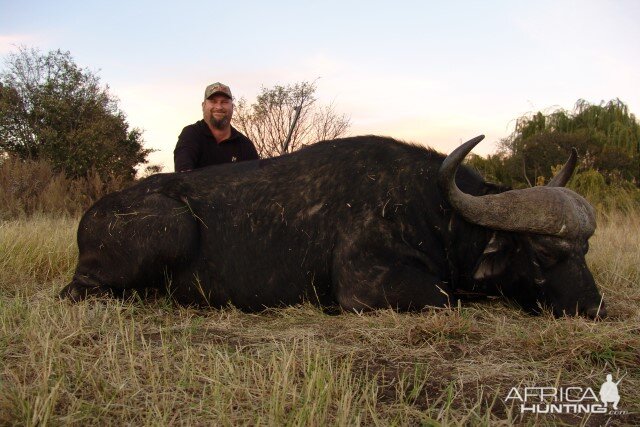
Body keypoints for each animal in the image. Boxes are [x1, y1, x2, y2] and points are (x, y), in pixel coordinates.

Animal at [60, 135, 604, 320]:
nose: (594, 307)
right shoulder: (366, 289)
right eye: (543, 253)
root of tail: (94, 214)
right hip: (167, 232)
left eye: (584, 250)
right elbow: (447, 296)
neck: (429, 208)